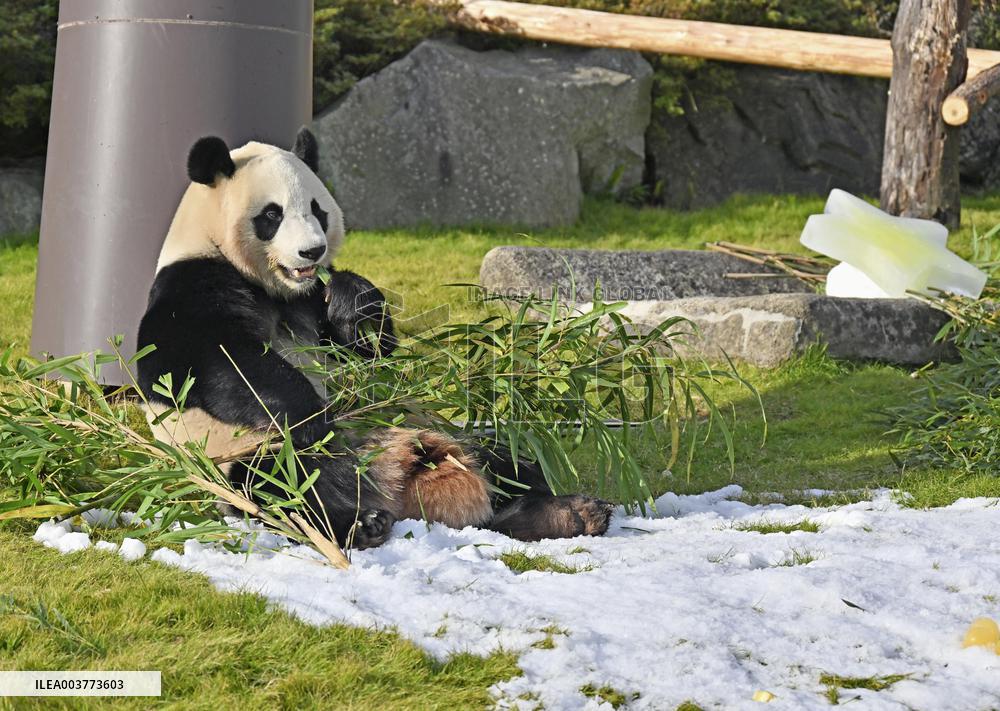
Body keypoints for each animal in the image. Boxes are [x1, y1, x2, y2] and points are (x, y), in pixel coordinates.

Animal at [136, 128, 614, 549]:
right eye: (272, 214)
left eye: (317, 210)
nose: (312, 251)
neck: (276, 288)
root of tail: (389, 477)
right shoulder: (194, 282)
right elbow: (201, 361)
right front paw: (311, 415)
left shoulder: (312, 301)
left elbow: (368, 352)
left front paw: (354, 298)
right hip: (244, 456)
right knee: (282, 488)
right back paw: (360, 524)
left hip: (430, 427)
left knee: (508, 459)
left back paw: (570, 513)